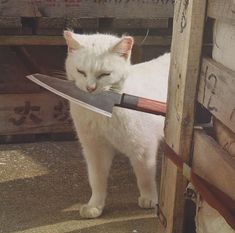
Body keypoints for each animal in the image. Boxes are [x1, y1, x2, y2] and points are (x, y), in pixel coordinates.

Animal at [63, 31, 169, 218]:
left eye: (105, 74)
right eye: (81, 71)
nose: (90, 88)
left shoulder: (143, 148)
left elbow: (145, 177)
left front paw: (149, 198)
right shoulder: (95, 149)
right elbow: (96, 179)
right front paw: (95, 206)